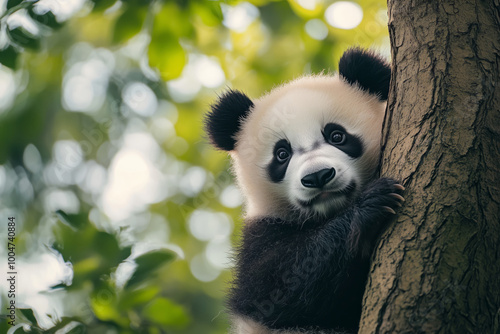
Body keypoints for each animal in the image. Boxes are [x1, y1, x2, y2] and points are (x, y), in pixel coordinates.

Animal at [205, 47, 404, 334]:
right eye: (282, 154)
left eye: (337, 136)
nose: (318, 176)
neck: (328, 213)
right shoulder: (260, 233)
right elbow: (278, 288)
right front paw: (370, 205)